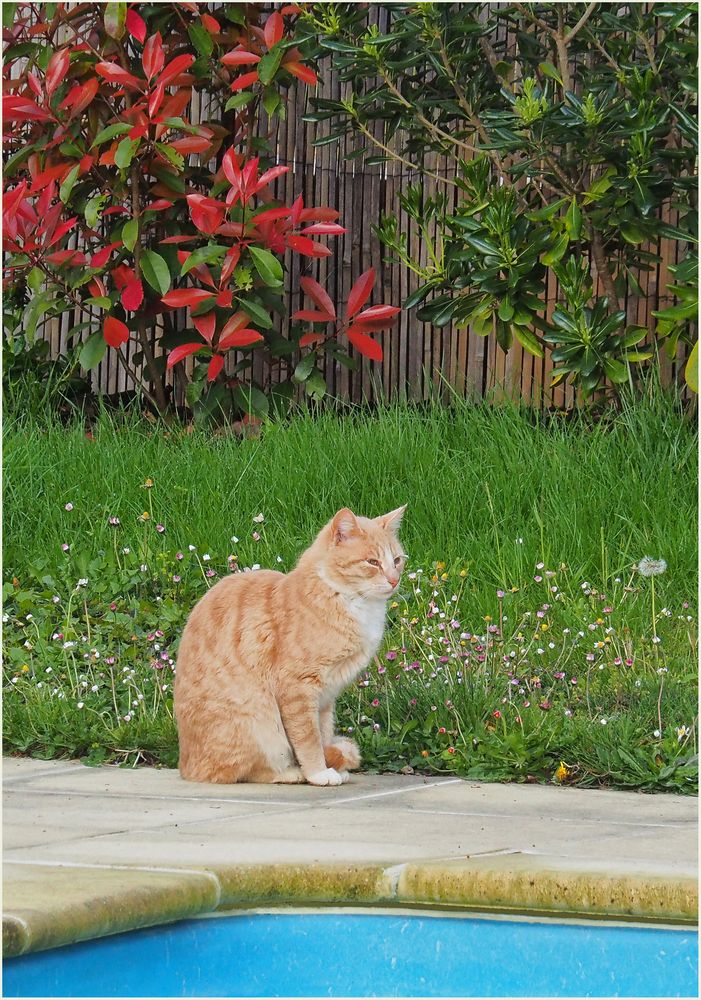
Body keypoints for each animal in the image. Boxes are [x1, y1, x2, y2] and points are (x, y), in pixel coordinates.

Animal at [173, 504, 408, 784]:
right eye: (372, 562)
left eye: (397, 560)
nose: (394, 580)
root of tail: (186, 768)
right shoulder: (298, 687)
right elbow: (308, 739)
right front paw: (318, 772)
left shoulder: (325, 698)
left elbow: (323, 735)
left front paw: (330, 764)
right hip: (260, 723)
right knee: (247, 770)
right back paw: (292, 773)